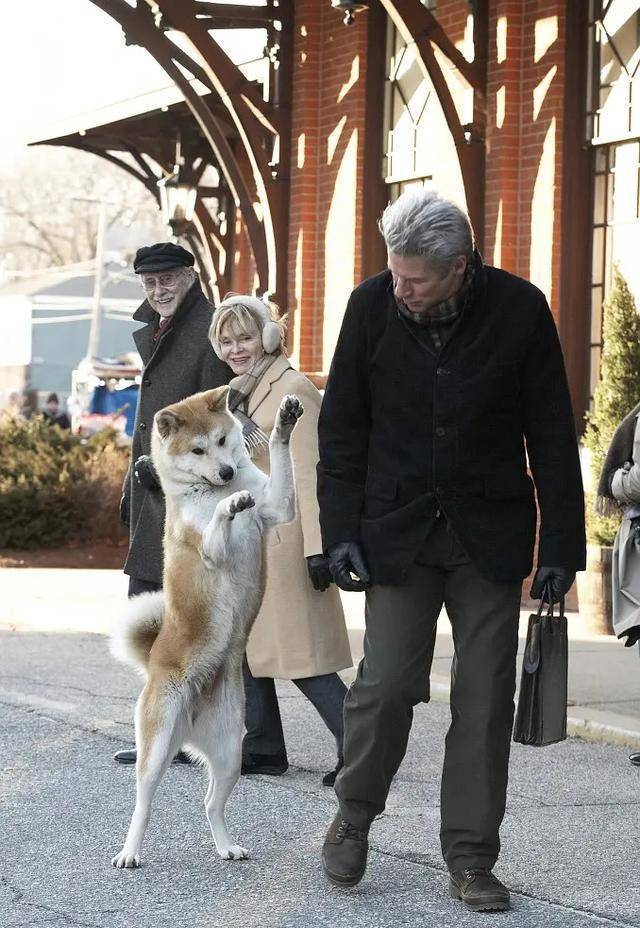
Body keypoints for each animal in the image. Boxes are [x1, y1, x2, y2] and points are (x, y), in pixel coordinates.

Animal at [109, 384, 302, 872]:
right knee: (143, 804)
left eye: (221, 440)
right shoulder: (207, 544)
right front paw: (227, 505)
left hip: (230, 751)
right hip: (157, 747)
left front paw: (286, 421)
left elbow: (278, 459)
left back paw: (226, 845)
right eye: (197, 450)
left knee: (211, 804)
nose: (227, 472)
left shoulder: (277, 506)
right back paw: (130, 851)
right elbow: (217, 520)